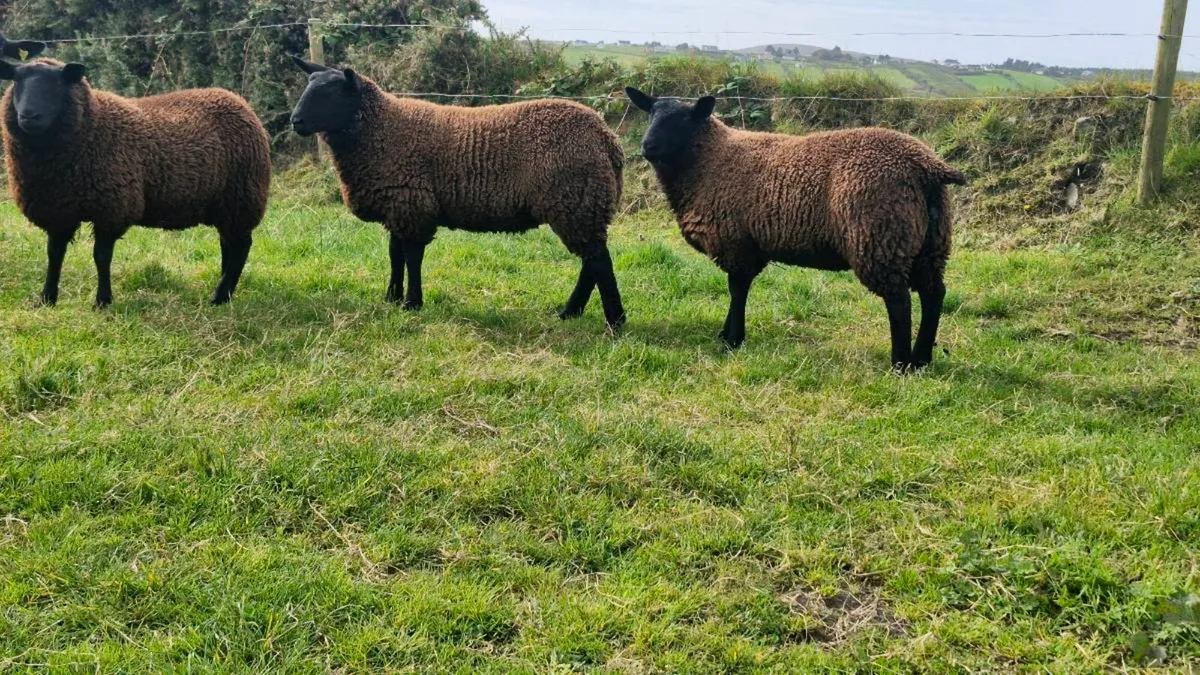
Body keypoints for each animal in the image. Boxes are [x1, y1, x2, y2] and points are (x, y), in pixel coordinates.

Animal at [0, 58, 271, 307]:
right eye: (17, 81)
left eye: (57, 84)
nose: (29, 115)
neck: (92, 127)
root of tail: (239, 101)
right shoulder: (58, 210)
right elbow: (54, 254)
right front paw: (47, 298)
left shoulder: (112, 208)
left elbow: (101, 257)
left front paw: (102, 301)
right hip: (225, 205)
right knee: (229, 245)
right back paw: (225, 292)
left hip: (241, 197)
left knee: (241, 247)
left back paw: (219, 296)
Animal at [287, 57, 627, 329]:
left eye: (331, 93)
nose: (295, 121)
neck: (381, 130)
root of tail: (606, 138)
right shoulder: (397, 206)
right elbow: (395, 255)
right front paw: (391, 298)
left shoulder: (413, 206)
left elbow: (412, 257)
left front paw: (412, 303)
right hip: (582, 205)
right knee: (592, 260)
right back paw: (571, 312)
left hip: (575, 199)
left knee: (598, 260)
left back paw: (614, 321)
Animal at [625, 87, 965, 371]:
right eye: (651, 114)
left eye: (684, 119)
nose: (647, 147)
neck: (709, 159)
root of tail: (926, 166)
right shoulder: (748, 246)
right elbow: (738, 290)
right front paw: (727, 333)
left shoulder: (735, 243)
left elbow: (737, 290)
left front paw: (733, 339)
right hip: (929, 243)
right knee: (934, 293)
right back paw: (922, 359)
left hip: (880, 237)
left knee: (899, 301)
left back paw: (900, 363)